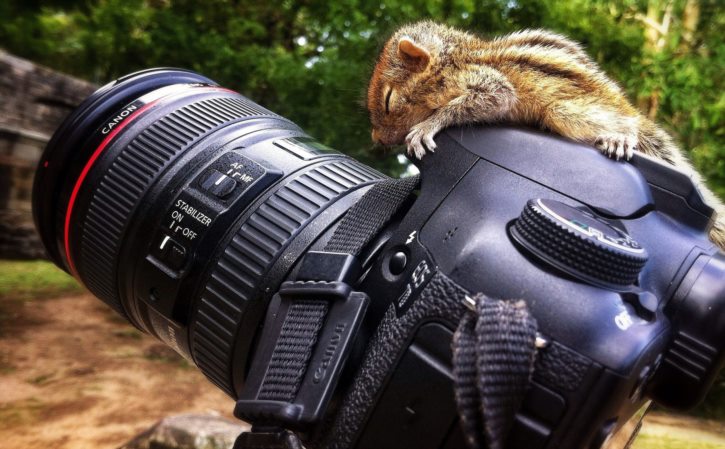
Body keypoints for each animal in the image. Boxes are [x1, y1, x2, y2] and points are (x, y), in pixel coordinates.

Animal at [370, 20, 720, 248]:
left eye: (388, 100)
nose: (377, 141)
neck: (452, 61)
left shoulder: (487, 83)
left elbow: (490, 99)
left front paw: (427, 126)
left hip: (565, 111)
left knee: (627, 124)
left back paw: (620, 136)